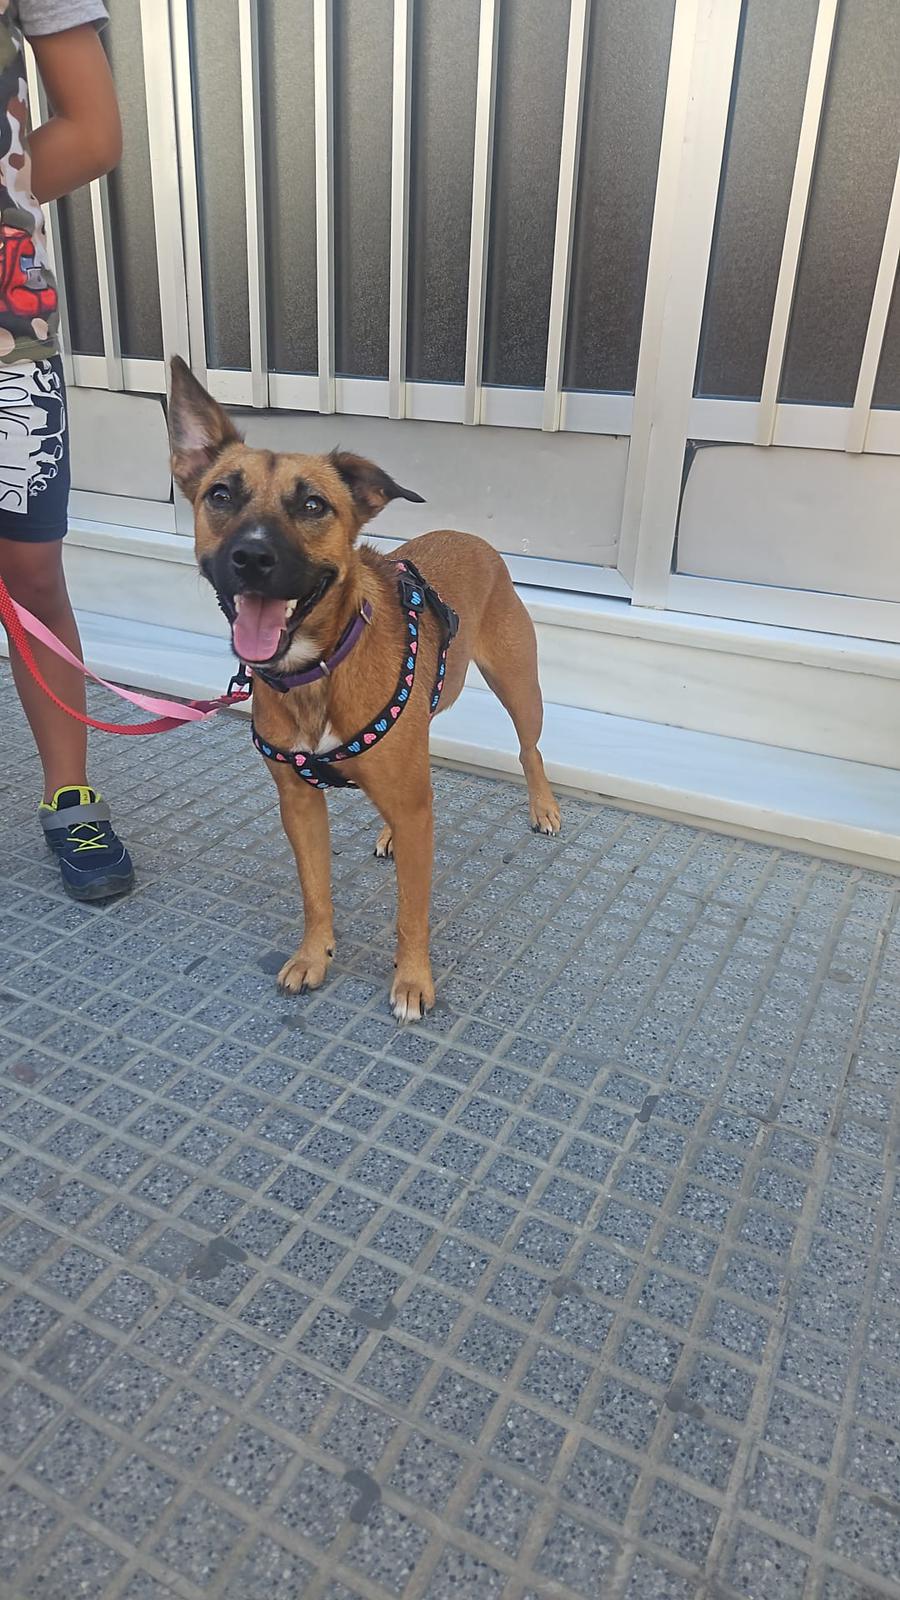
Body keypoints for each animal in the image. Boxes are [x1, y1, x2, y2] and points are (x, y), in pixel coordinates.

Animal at [168, 355, 560, 1020]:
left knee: (530, 748)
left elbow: (412, 912)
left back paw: (543, 807)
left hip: (518, 687)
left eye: (313, 505)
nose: (252, 557)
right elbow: (315, 891)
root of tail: (473, 538)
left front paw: (412, 980)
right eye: (220, 495)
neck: (317, 670)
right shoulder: (298, 804)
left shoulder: (415, 808)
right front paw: (313, 955)